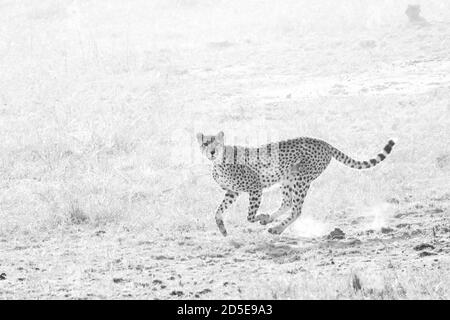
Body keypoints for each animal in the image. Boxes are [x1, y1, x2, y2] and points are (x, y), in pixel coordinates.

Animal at [196, 131, 394, 236]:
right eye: (206, 143)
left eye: (216, 143)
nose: (212, 151)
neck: (219, 162)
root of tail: (324, 142)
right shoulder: (232, 192)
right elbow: (218, 211)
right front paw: (222, 229)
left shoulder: (255, 187)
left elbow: (250, 216)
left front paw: (260, 216)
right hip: (288, 178)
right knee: (287, 202)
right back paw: (272, 221)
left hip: (300, 179)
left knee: (296, 209)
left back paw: (276, 227)